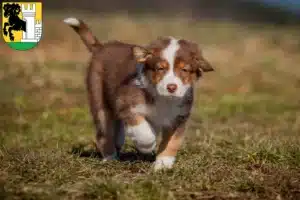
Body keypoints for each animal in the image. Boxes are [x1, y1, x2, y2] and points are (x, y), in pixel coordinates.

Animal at [63, 16, 213, 170]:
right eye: (160, 68)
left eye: (184, 70)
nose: (171, 87)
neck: (163, 98)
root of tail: (101, 47)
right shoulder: (127, 105)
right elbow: (143, 130)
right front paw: (148, 146)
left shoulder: (179, 117)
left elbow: (172, 142)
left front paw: (163, 164)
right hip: (99, 100)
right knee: (104, 133)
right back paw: (110, 157)